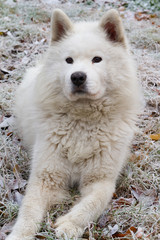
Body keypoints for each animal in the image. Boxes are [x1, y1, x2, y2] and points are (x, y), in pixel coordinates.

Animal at [6, 8, 142, 239]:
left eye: (97, 59)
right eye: (68, 60)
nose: (78, 77)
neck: (83, 121)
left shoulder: (101, 181)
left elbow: (92, 204)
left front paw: (69, 224)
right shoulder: (45, 178)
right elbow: (28, 211)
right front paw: (19, 235)